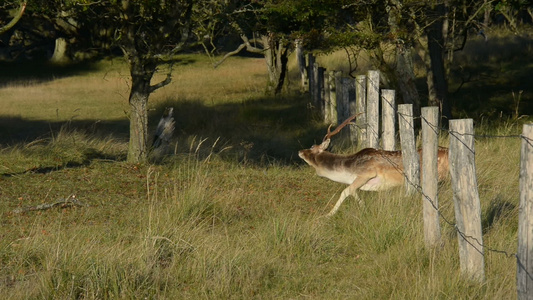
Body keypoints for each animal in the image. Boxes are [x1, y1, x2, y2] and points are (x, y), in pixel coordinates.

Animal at [298, 114, 446, 216]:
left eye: (312, 147)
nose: (300, 151)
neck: (348, 171)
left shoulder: (367, 173)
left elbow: (346, 191)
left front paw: (329, 214)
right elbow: (352, 191)